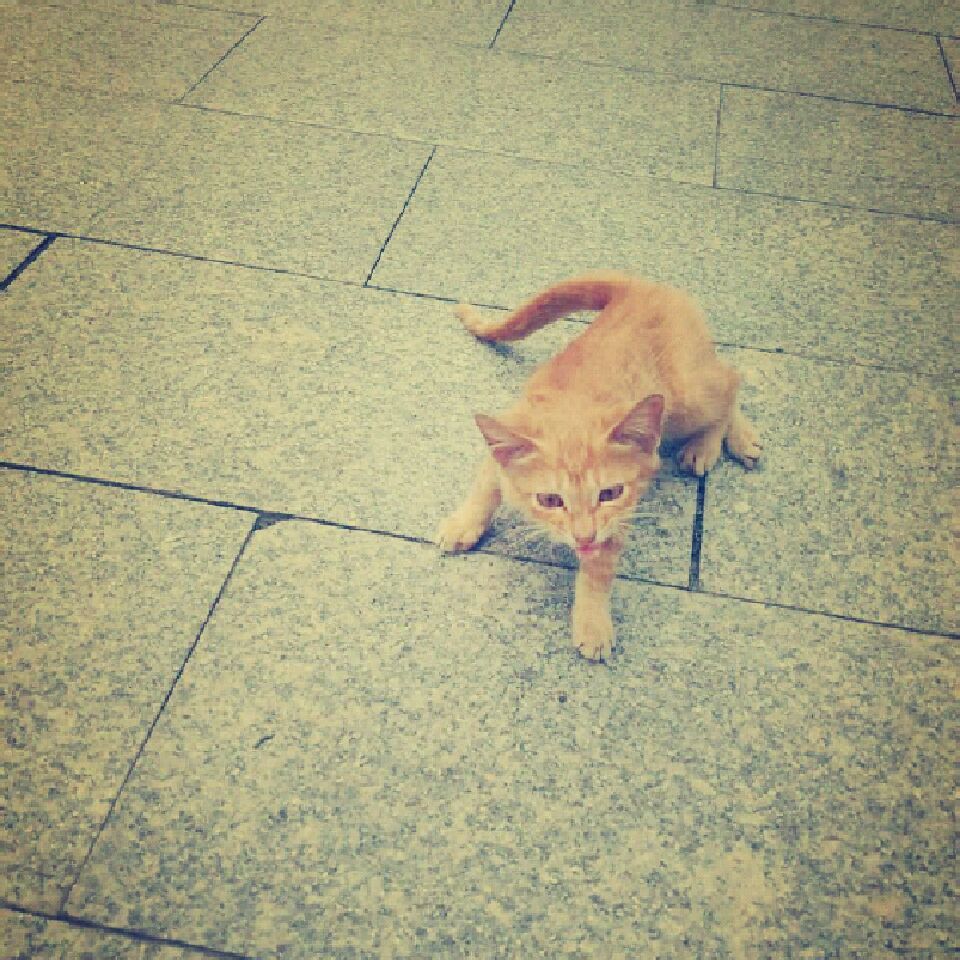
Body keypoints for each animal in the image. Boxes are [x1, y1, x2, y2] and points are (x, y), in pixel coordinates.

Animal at [437, 271, 762, 662]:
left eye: (610, 493)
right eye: (550, 500)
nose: (583, 537)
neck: (570, 412)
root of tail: (637, 286)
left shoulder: (622, 511)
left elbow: (599, 569)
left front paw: (592, 622)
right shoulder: (502, 450)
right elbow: (485, 487)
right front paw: (465, 522)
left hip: (687, 397)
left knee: (729, 379)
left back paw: (717, 441)